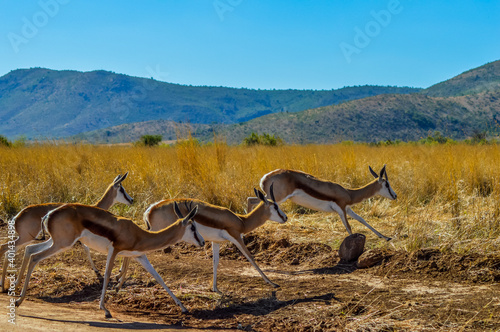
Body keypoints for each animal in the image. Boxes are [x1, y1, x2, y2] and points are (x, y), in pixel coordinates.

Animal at [0, 172, 133, 292]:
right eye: (121, 189)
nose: (131, 200)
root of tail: (17, 216)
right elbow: (87, 249)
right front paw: (98, 271)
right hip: (27, 238)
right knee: (6, 249)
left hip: (27, 239)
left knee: (13, 251)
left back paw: (7, 285)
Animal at [15, 201, 203, 318]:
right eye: (193, 227)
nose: (202, 242)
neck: (139, 234)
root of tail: (49, 214)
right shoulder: (114, 251)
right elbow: (106, 276)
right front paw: (104, 309)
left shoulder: (140, 256)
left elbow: (159, 278)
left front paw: (184, 308)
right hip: (63, 243)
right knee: (35, 257)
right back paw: (18, 300)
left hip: (57, 242)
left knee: (29, 250)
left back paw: (15, 291)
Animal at [135, 187, 288, 294]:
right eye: (275, 206)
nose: (285, 217)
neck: (241, 221)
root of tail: (150, 209)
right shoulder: (237, 237)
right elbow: (251, 258)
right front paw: (272, 283)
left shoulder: (216, 242)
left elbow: (215, 262)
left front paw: (215, 289)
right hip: (156, 234)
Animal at [248, 166, 396, 241]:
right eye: (387, 184)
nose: (395, 195)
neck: (349, 193)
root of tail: (265, 178)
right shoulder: (341, 209)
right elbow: (348, 227)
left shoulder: (347, 209)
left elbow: (362, 220)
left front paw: (386, 237)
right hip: (275, 199)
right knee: (253, 201)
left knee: (251, 200)